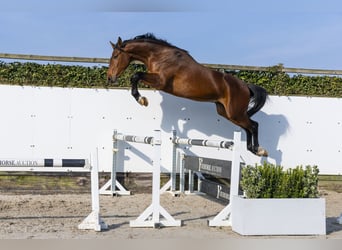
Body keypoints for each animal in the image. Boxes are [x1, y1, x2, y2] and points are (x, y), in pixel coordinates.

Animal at [108, 32, 268, 155]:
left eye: (115, 56)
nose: (110, 78)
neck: (160, 56)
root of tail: (245, 86)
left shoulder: (160, 82)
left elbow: (136, 75)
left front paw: (141, 99)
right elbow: (136, 77)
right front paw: (141, 99)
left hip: (235, 113)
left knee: (254, 125)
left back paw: (259, 150)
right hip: (226, 112)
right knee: (248, 126)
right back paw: (252, 149)